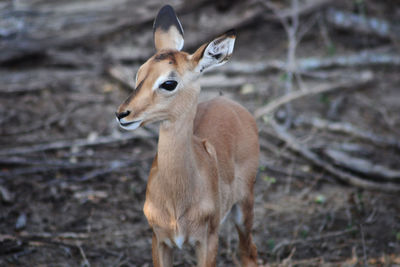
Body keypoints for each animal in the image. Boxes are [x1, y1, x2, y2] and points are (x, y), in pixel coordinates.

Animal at [115, 4, 260, 267]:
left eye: (169, 83)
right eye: (139, 73)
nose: (122, 114)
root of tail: (230, 103)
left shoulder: (208, 241)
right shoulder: (159, 240)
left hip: (244, 207)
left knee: (249, 251)